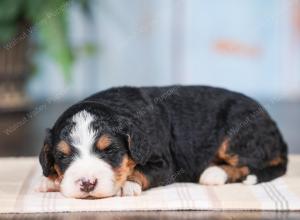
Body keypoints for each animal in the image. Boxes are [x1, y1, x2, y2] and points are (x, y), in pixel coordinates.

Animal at [38, 85, 288, 199]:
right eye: (62, 156)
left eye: (110, 150)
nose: (87, 183)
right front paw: (51, 181)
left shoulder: (165, 165)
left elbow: (140, 171)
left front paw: (127, 185)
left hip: (237, 136)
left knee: (251, 164)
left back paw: (214, 173)